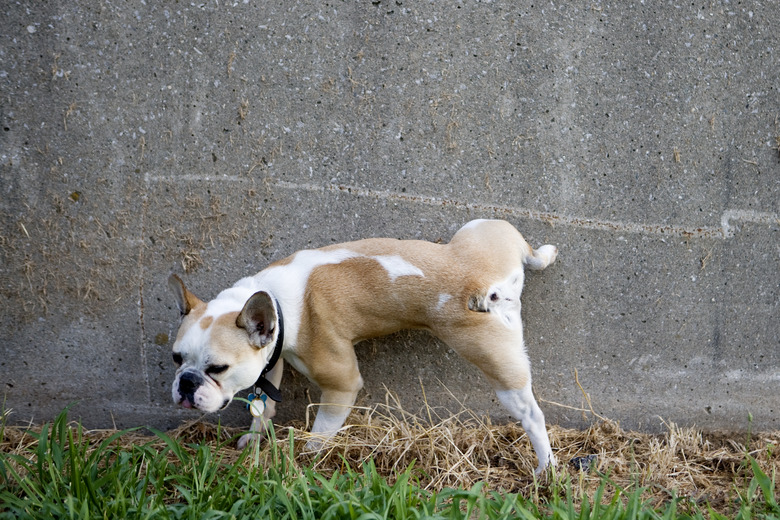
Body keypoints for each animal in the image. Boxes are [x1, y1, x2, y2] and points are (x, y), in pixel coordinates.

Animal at [168, 219, 556, 476]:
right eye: (176, 358)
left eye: (217, 369)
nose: (186, 382)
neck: (274, 302)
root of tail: (485, 284)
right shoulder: (272, 356)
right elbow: (264, 403)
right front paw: (254, 436)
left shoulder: (340, 384)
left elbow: (321, 430)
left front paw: (306, 458)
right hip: (483, 228)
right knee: (527, 249)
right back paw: (545, 254)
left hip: (496, 364)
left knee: (531, 415)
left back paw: (545, 468)